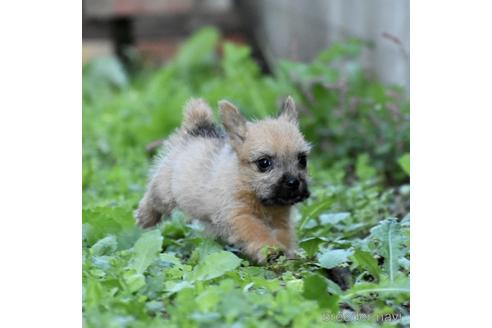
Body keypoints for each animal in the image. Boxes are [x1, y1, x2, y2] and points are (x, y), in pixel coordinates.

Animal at [136, 96, 310, 262]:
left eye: (302, 160)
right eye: (264, 163)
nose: (294, 183)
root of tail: (197, 130)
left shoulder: (280, 221)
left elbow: (284, 236)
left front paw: (287, 257)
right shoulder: (238, 216)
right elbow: (257, 231)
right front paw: (270, 250)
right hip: (164, 191)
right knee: (152, 198)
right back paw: (145, 217)